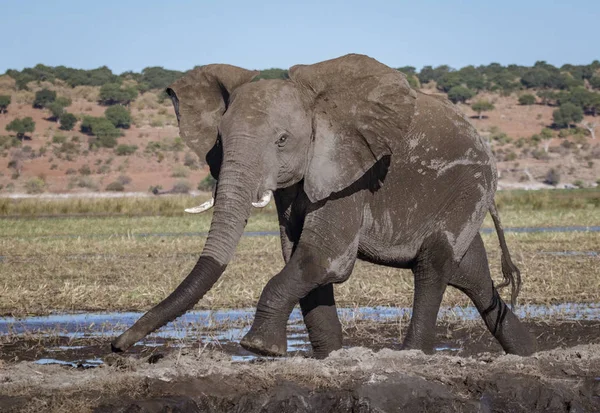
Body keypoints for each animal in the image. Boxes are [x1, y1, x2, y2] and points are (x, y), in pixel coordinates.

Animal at [111, 54, 536, 358]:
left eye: (282, 140)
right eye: (220, 140)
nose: (119, 346)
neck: (317, 107)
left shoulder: (352, 174)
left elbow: (325, 258)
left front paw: (259, 348)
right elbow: (297, 255)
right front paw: (329, 356)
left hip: (469, 186)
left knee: (433, 266)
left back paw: (412, 354)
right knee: (472, 275)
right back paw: (527, 353)